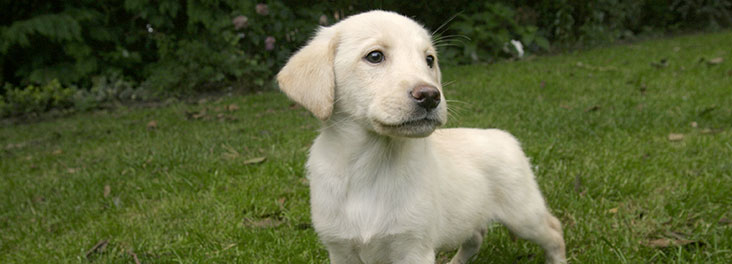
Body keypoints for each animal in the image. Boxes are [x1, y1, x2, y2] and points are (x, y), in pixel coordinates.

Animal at [274, 10, 568, 264]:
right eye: (375, 56)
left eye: (429, 60)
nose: (430, 96)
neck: (371, 162)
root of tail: (503, 135)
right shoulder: (340, 249)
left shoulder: (414, 247)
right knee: (475, 236)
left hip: (523, 212)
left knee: (554, 230)